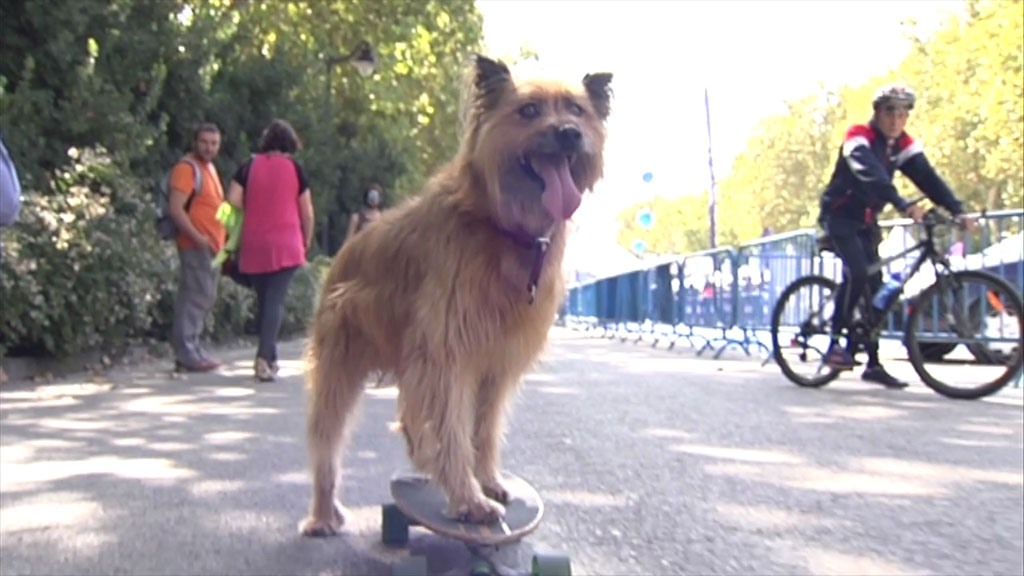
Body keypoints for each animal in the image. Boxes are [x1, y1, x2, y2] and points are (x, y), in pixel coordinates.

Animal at [299, 53, 610, 532]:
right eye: (529, 111)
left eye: (576, 110)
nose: (569, 133)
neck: (502, 226)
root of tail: (346, 251)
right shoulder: (447, 352)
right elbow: (452, 428)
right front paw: (468, 498)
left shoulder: (495, 363)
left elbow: (483, 427)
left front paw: (486, 480)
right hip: (340, 365)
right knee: (327, 441)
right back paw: (322, 514)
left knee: (410, 415)